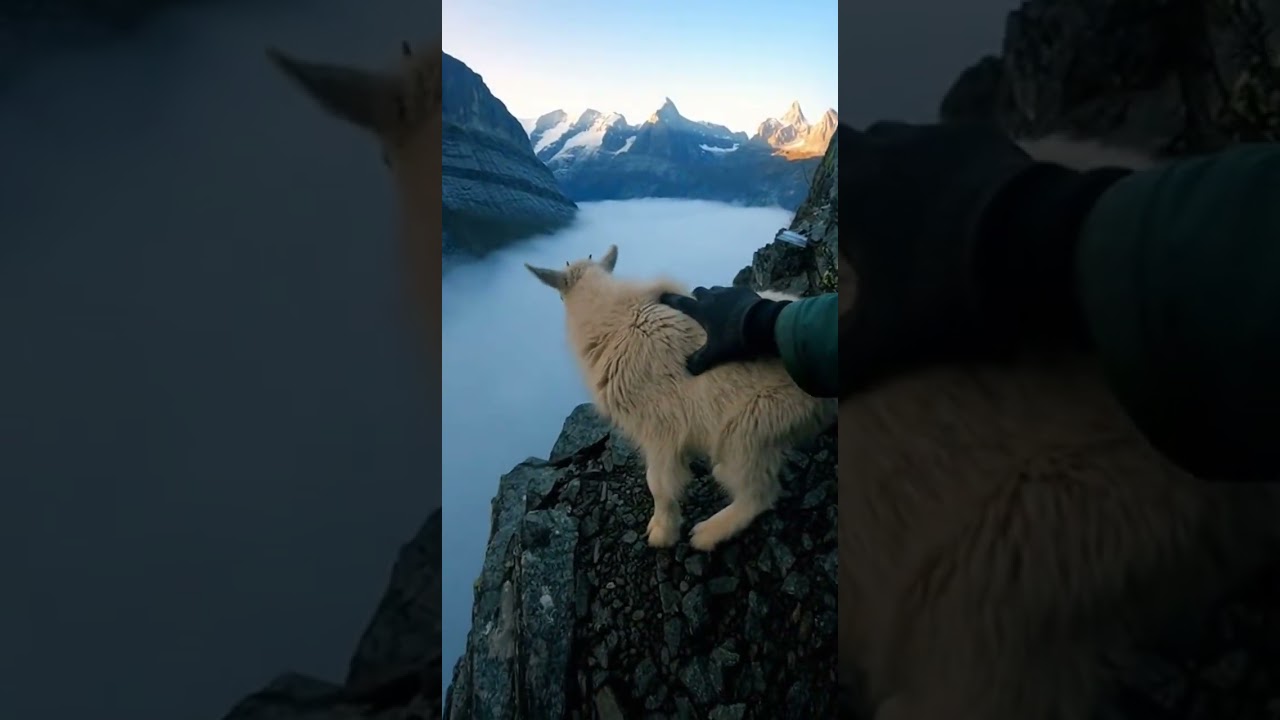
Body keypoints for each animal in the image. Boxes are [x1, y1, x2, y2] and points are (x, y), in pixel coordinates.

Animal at [526, 245, 836, 551]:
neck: (613, 316)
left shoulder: (659, 429)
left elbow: (658, 483)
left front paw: (662, 532)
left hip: (748, 427)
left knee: (758, 492)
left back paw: (707, 533)